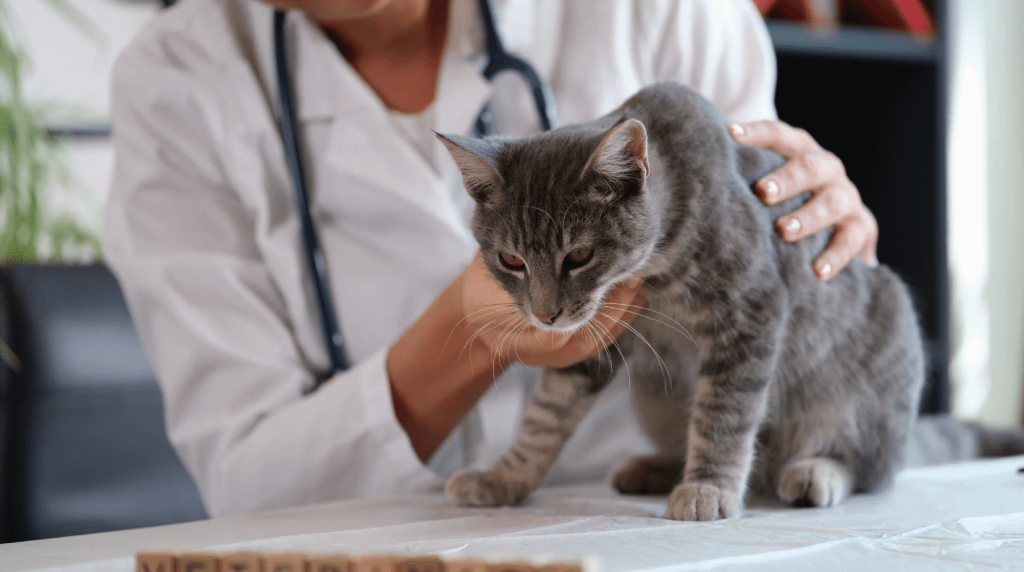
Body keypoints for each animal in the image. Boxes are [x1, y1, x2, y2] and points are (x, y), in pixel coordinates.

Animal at [436, 82, 1019, 521]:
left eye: (578, 255)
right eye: (510, 260)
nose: (545, 313)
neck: (654, 275)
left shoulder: (751, 311)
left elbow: (726, 413)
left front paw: (709, 487)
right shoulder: (595, 339)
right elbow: (546, 416)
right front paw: (505, 476)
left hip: (876, 378)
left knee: (871, 467)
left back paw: (815, 470)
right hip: (656, 399)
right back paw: (654, 468)